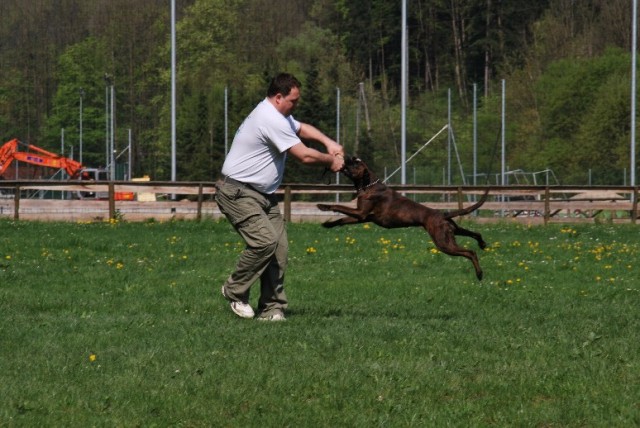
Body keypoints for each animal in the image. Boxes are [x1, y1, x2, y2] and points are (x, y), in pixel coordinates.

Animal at [318, 157, 488, 280]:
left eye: (355, 162)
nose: (346, 158)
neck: (369, 184)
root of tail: (442, 214)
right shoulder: (362, 217)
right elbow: (342, 220)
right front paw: (328, 225)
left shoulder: (360, 213)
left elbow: (338, 206)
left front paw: (323, 206)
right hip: (452, 232)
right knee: (476, 233)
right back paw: (483, 244)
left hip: (443, 243)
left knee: (470, 252)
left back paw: (480, 274)